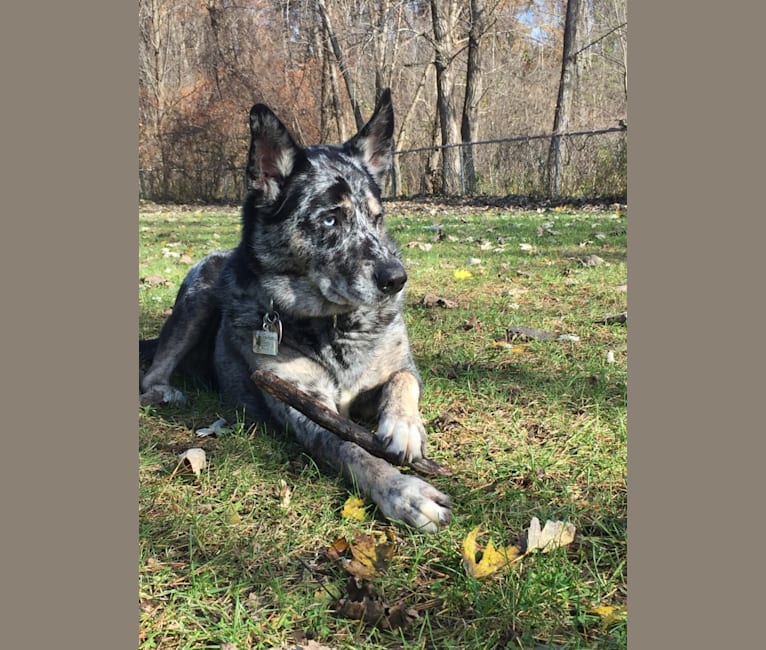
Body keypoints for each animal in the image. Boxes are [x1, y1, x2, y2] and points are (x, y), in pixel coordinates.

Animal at [140, 90, 450, 532]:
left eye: (376, 218)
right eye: (331, 219)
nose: (396, 278)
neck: (335, 327)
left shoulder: (400, 367)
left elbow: (401, 381)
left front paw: (404, 427)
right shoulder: (302, 405)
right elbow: (352, 448)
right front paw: (404, 492)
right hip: (199, 294)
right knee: (152, 373)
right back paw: (164, 391)